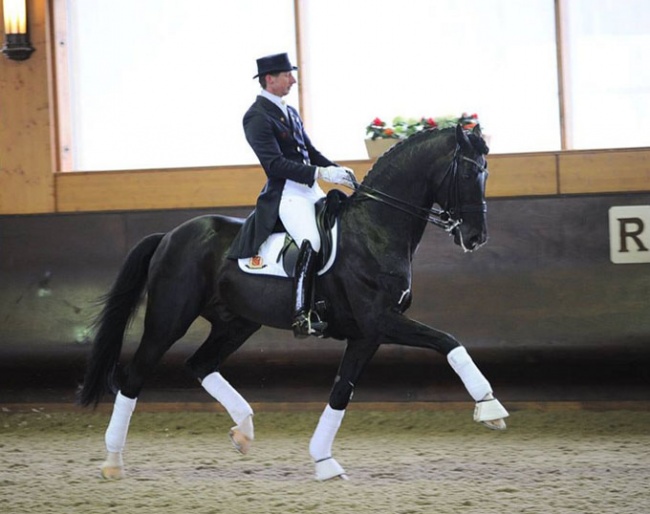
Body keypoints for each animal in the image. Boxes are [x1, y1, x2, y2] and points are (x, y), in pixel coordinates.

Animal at [79, 124, 506, 480]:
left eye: (487, 172)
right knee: (133, 377)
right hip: (169, 319)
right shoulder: (381, 320)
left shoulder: (367, 334)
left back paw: (244, 431)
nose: (476, 237)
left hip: (236, 322)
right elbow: (448, 341)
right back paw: (113, 462)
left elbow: (341, 391)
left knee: (200, 365)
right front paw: (490, 408)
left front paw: (324, 460)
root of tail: (169, 235)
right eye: (469, 174)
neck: (375, 230)